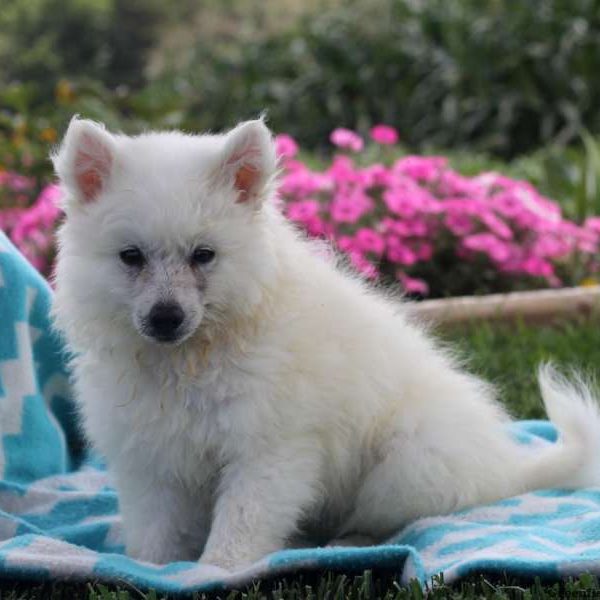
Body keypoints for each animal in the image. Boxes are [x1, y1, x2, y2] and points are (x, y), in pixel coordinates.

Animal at [51, 117, 600, 572]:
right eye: (131, 257)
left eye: (203, 255)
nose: (166, 318)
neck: (189, 357)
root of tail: (506, 472)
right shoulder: (150, 457)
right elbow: (156, 529)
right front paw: (151, 569)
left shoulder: (269, 450)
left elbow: (242, 521)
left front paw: (214, 571)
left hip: (405, 465)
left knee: (397, 522)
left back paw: (345, 544)